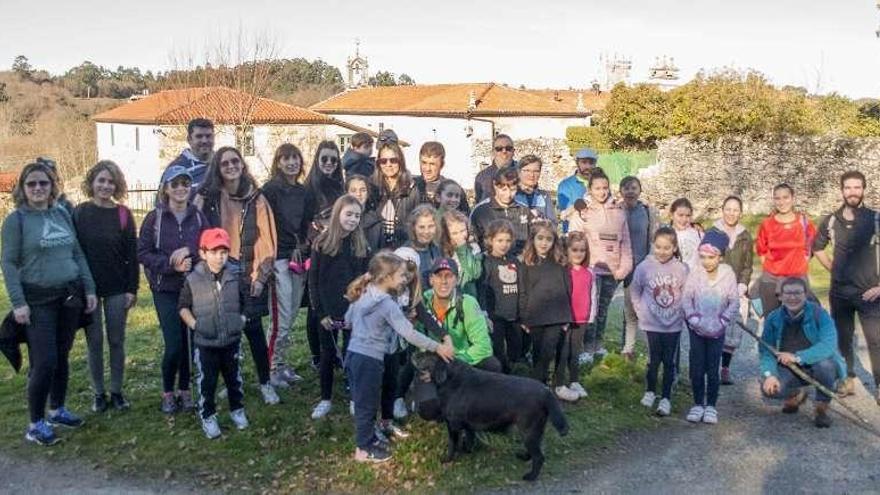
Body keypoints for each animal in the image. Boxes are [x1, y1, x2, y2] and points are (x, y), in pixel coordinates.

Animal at [412, 354, 572, 482]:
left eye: (427, 355)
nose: (413, 355)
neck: (452, 379)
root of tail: (546, 391)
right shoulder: (468, 425)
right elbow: (469, 439)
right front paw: (467, 450)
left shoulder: (452, 425)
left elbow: (452, 444)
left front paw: (446, 459)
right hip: (536, 430)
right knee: (536, 450)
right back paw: (524, 457)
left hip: (528, 430)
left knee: (539, 457)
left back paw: (531, 476)